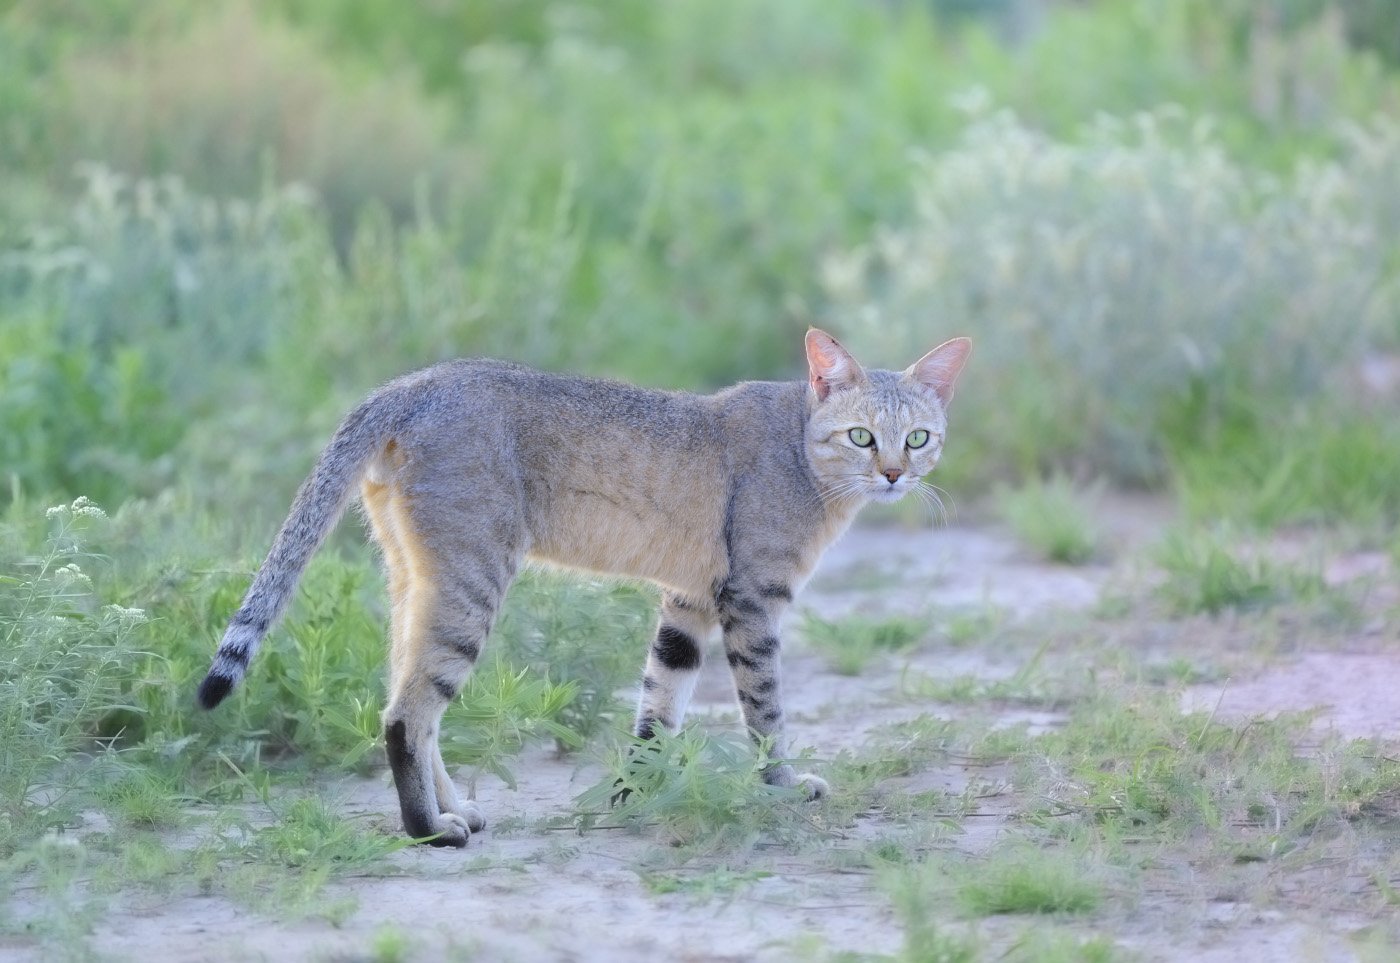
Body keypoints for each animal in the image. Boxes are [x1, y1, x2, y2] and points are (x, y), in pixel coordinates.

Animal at [197, 327, 968, 845]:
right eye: (863, 436)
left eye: (920, 437)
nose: (895, 474)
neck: (803, 453)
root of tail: (406, 387)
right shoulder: (752, 602)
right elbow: (765, 712)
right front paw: (780, 787)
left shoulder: (690, 600)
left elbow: (658, 706)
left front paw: (637, 792)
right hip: (471, 582)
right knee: (405, 714)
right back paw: (429, 829)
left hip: (415, 579)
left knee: (407, 698)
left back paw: (452, 808)